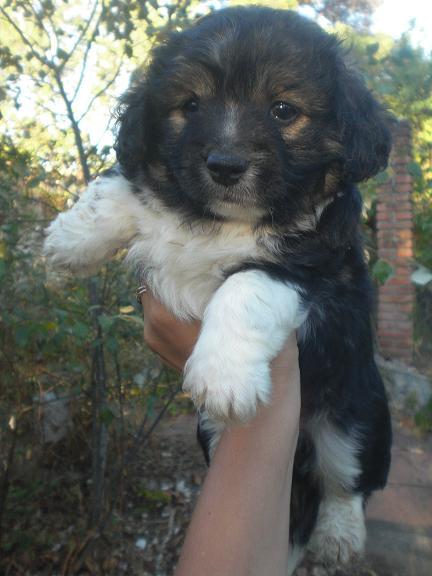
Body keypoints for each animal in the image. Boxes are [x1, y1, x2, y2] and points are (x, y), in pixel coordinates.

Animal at [45, 6, 394, 572]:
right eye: (190, 105)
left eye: (283, 109)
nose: (225, 165)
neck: (228, 223)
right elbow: (124, 189)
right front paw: (69, 239)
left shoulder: (314, 275)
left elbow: (244, 286)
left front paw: (223, 377)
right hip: (213, 432)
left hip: (356, 415)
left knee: (346, 482)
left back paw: (338, 537)